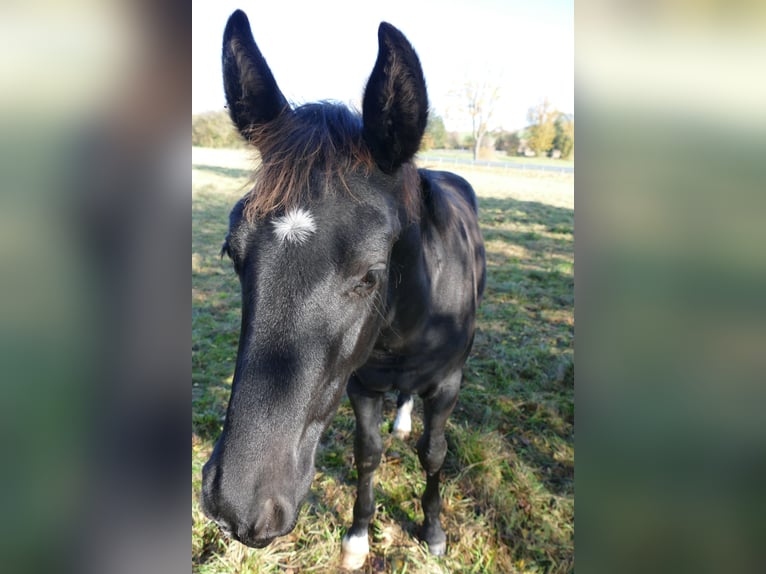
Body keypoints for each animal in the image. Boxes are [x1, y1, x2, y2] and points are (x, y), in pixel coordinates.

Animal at [202, 10, 486, 572]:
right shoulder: (361, 385)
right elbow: (367, 453)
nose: (236, 507)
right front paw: (357, 535)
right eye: (231, 251)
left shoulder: (448, 383)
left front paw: (433, 531)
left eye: (370, 274)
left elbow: (434, 454)